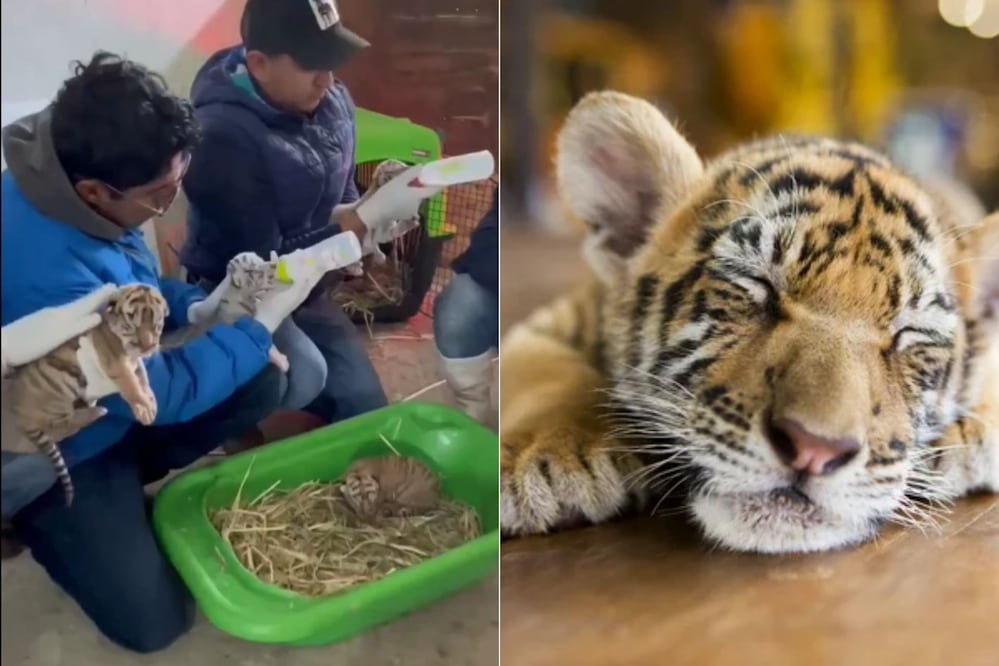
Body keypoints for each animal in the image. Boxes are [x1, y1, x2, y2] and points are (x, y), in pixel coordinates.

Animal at [6, 283, 169, 506]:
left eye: (156, 323)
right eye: (131, 322)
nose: (147, 347)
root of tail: (18, 414)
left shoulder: (136, 363)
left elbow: (143, 378)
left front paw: (149, 403)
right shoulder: (117, 363)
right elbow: (132, 385)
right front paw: (144, 405)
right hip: (56, 397)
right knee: (63, 427)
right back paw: (98, 411)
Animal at [500, 91, 998, 554]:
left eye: (909, 333)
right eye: (757, 285)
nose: (815, 449)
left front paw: (970, 435)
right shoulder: (550, 323)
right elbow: (545, 376)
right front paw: (548, 461)